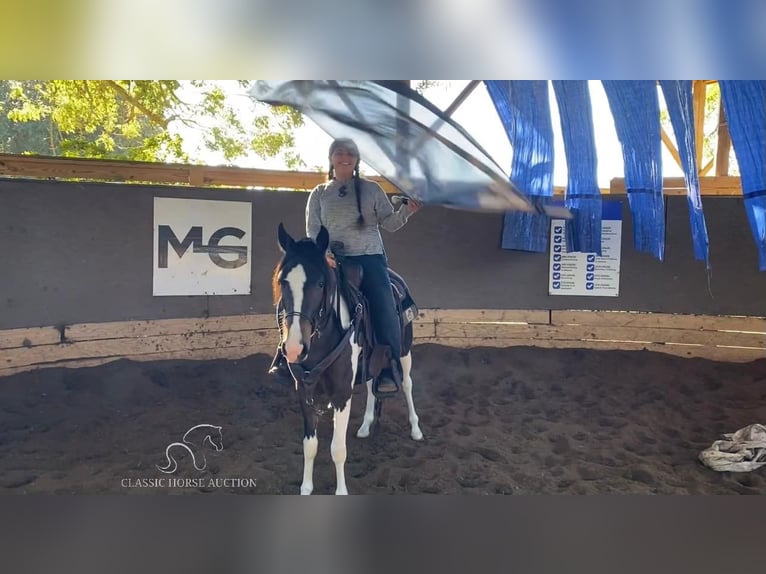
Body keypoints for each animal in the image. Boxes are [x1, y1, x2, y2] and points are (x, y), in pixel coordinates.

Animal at [272, 224, 424, 496]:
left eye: (321, 283)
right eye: (282, 281)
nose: (294, 348)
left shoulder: (342, 393)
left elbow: (337, 449)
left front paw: (341, 491)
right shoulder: (303, 390)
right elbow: (310, 445)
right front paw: (306, 488)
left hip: (405, 352)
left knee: (407, 385)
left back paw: (416, 429)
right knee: (373, 386)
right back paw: (365, 426)